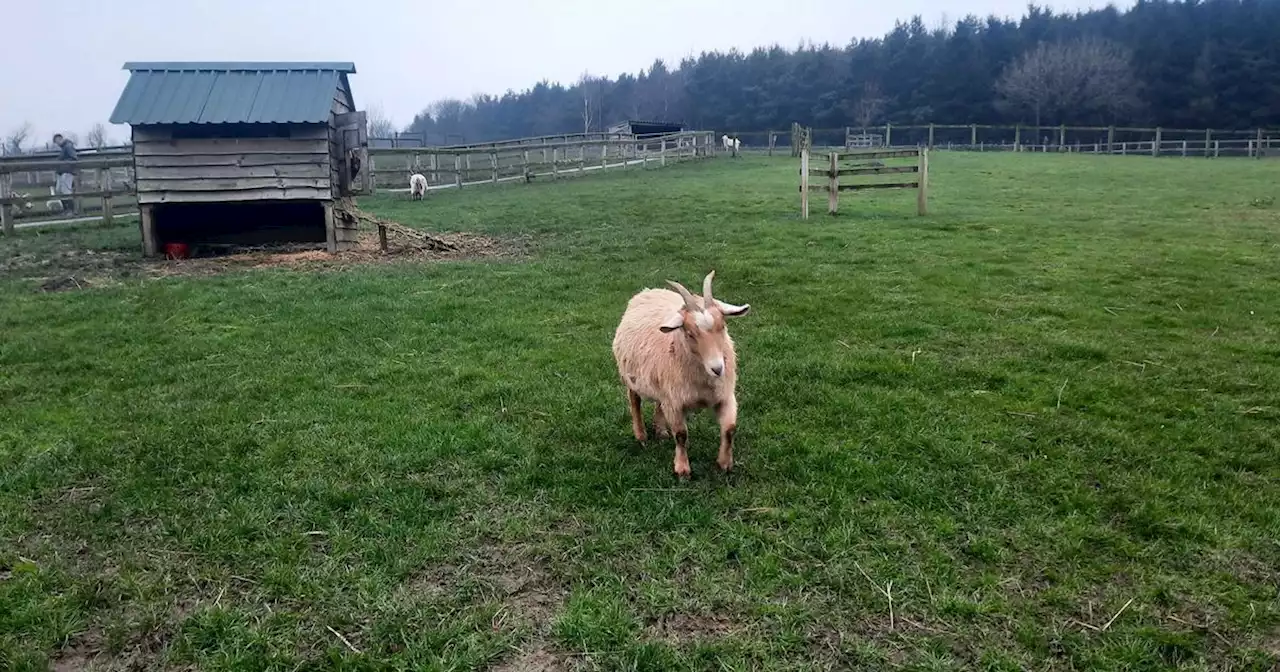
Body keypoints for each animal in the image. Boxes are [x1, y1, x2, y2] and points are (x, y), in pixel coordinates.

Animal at [609, 268, 747, 476]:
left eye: (723, 326)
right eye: (689, 333)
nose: (717, 368)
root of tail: (649, 290)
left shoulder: (725, 395)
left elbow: (729, 429)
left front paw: (724, 464)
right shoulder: (674, 403)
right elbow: (681, 435)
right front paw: (682, 470)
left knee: (658, 403)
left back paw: (661, 431)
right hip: (630, 377)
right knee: (635, 401)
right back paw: (641, 435)